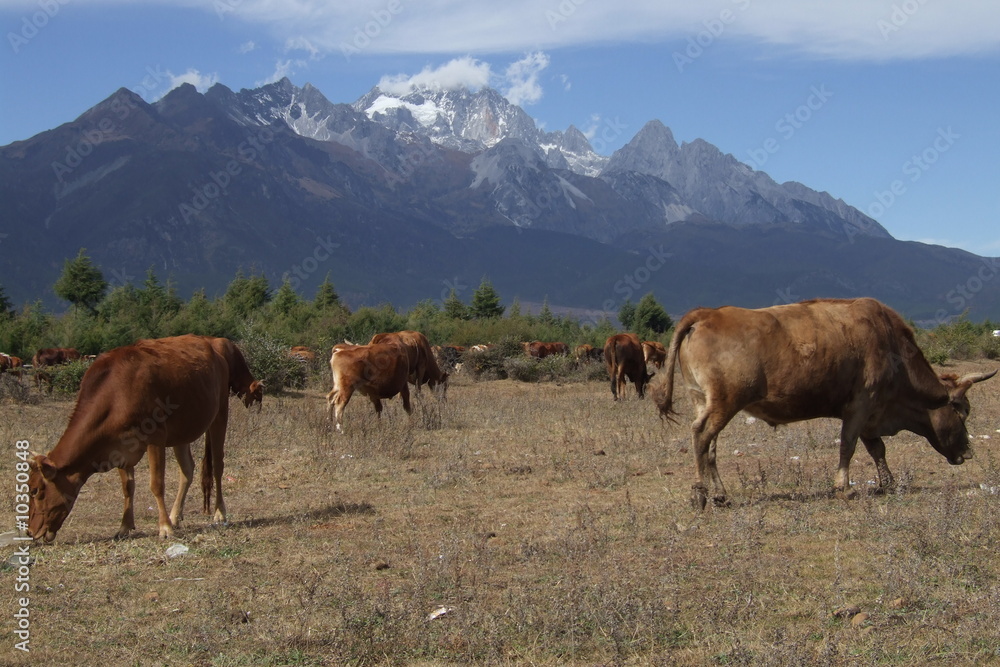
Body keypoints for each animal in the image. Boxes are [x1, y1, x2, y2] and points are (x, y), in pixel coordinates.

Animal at [26, 335, 263, 542]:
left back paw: (219, 513)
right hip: (181, 431)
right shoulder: (120, 447)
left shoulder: (155, 438)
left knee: (218, 466)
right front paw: (124, 526)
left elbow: (156, 484)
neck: (116, 394)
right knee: (187, 469)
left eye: (35, 490)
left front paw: (164, 528)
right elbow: (127, 487)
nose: (30, 532)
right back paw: (176, 515)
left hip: (219, 415)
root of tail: (213, 344)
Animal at [653, 298, 997, 510]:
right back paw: (700, 494)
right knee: (700, 437)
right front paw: (844, 486)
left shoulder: (871, 413)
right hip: (724, 403)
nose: (968, 452)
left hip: (706, 401)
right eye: (963, 412)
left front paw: (887, 483)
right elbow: (849, 445)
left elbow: (877, 449)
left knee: (710, 447)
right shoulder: (861, 405)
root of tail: (707, 313)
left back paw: (721, 494)